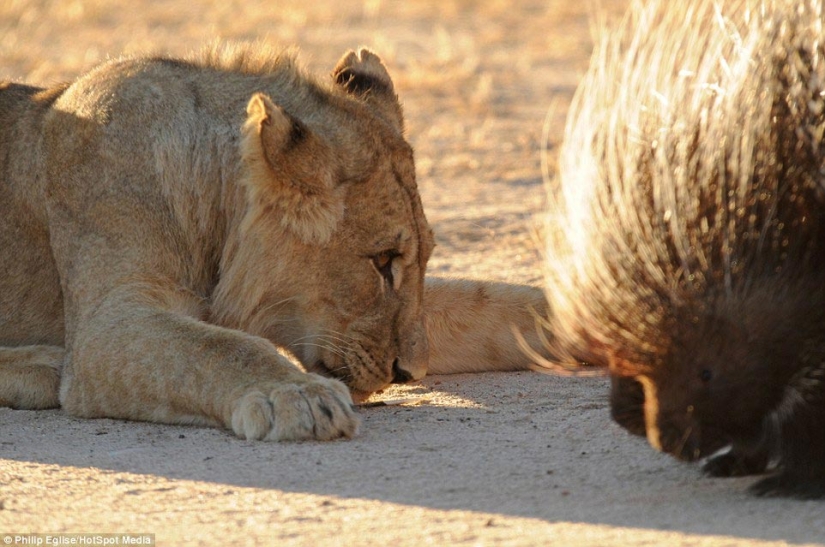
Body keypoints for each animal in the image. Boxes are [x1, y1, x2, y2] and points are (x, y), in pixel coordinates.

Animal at [0, 43, 547, 441]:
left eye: (419, 259)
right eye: (382, 261)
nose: (410, 373)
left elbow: (490, 301)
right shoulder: (108, 324)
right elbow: (219, 347)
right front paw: (298, 395)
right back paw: (42, 365)